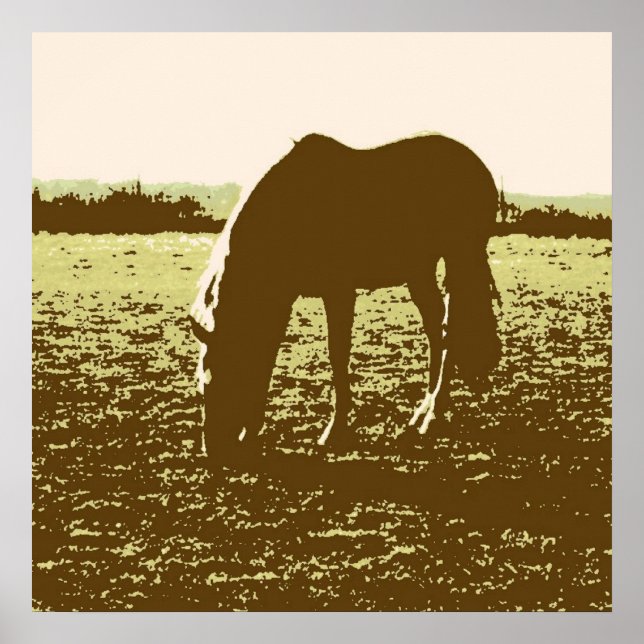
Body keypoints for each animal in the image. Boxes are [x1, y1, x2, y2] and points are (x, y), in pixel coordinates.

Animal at [190, 133, 501, 472]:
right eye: (202, 381)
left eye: (227, 375)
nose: (214, 450)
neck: (292, 209)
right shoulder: (281, 299)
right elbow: (268, 355)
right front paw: (252, 432)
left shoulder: (338, 290)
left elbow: (337, 354)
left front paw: (334, 433)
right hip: (419, 271)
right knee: (436, 330)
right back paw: (421, 412)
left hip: (459, 259)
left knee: (449, 331)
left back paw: (431, 417)